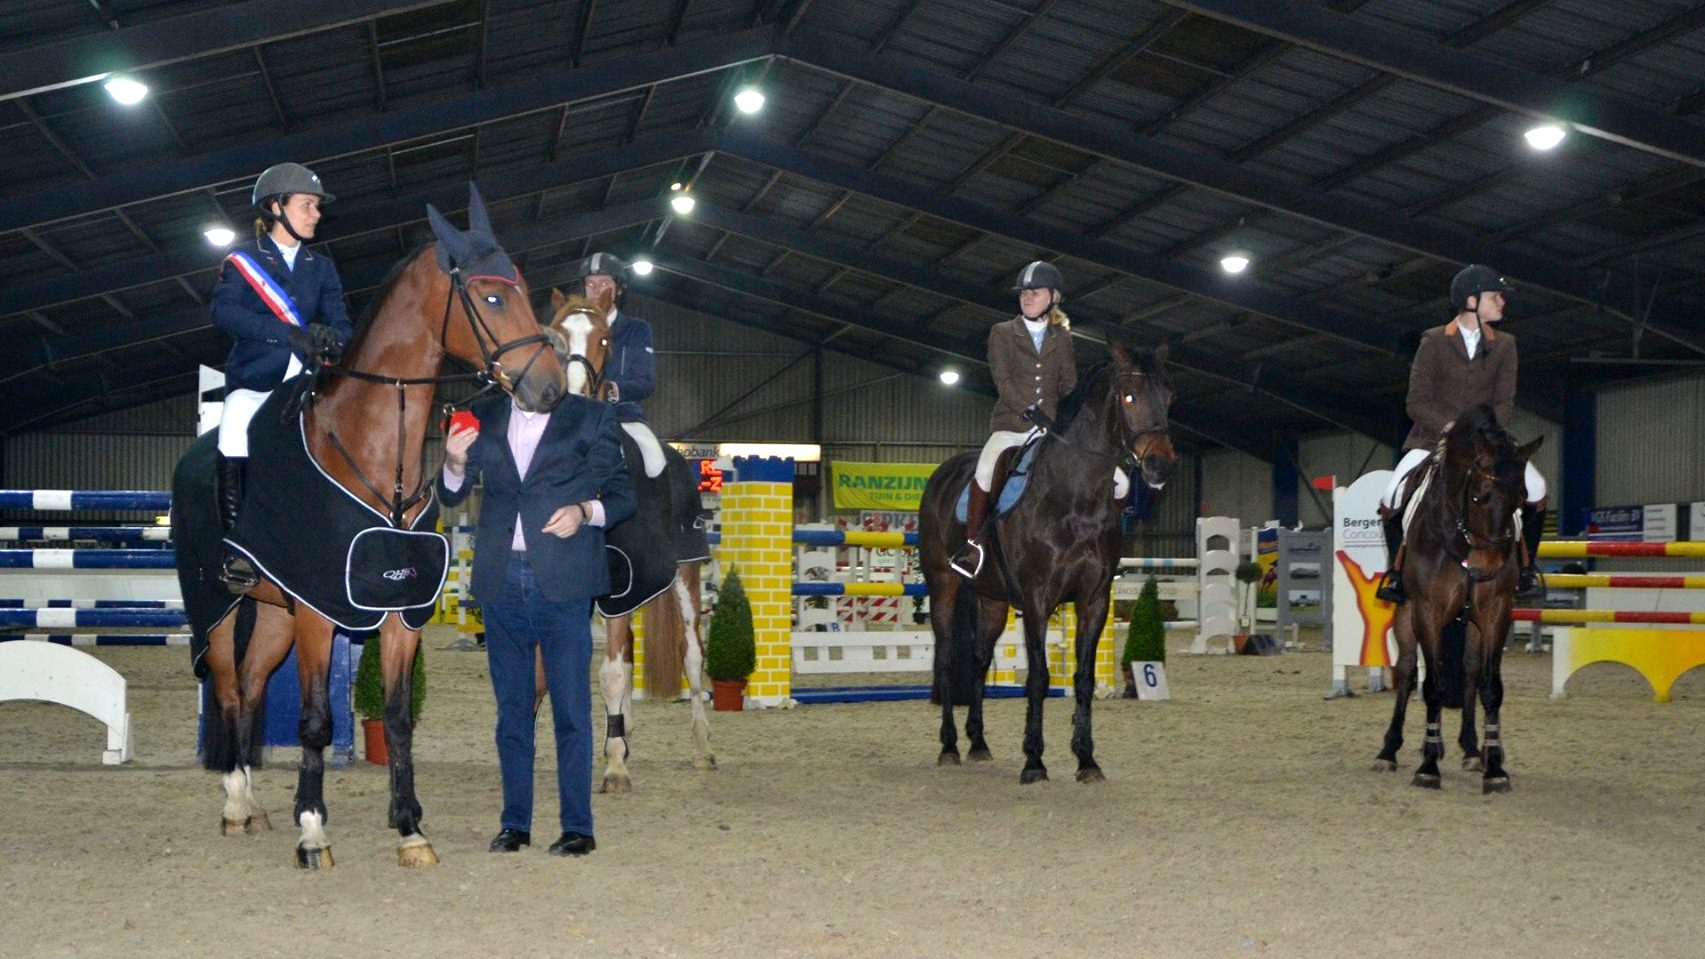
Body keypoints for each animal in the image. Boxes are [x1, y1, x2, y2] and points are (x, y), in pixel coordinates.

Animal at [170, 186, 562, 866]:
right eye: (491, 296)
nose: (550, 389)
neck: (377, 453)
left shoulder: (401, 611)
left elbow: (400, 717)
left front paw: (409, 828)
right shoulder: (318, 611)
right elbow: (316, 722)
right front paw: (312, 829)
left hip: (273, 610)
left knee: (251, 685)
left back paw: (255, 807)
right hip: (216, 607)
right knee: (225, 686)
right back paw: (236, 805)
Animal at [538, 286, 712, 788]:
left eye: (604, 338)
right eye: (554, 335)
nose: (572, 392)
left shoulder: (621, 583)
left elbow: (612, 674)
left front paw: (615, 767)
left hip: (685, 574)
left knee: (692, 655)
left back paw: (702, 747)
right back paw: (622, 733)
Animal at [920, 346, 1173, 781]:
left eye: (1169, 397)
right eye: (1129, 397)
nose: (1161, 466)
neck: (1075, 495)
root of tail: (943, 473)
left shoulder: (1094, 600)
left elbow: (1084, 678)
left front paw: (1086, 759)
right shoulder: (1038, 600)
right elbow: (1038, 677)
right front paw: (1034, 760)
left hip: (992, 599)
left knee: (978, 660)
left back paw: (978, 742)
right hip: (943, 587)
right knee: (948, 658)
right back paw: (950, 746)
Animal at [1377, 402, 1541, 791]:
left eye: (1522, 501)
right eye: (1479, 495)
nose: (1486, 569)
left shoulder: (1495, 612)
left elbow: (1490, 687)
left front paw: (1495, 767)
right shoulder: (1428, 611)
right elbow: (1432, 686)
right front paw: (1427, 767)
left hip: (1471, 624)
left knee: (1468, 671)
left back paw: (1469, 748)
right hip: (1406, 615)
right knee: (1407, 671)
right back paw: (1390, 750)